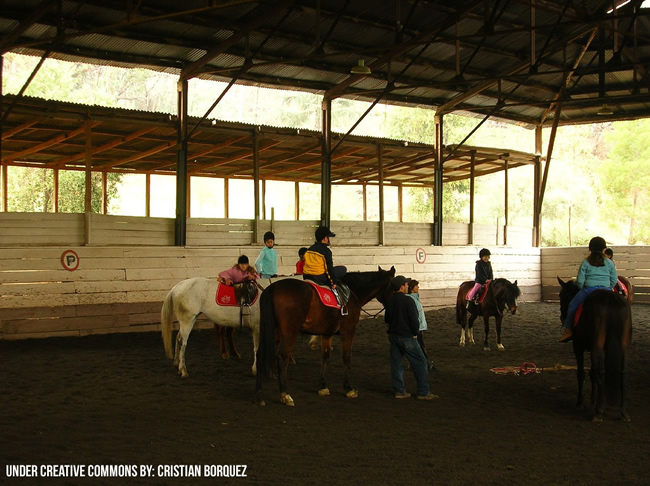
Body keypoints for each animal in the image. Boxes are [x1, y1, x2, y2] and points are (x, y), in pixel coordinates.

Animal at [253, 266, 394, 406]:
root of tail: (272, 288)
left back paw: (259, 395)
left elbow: (325, 357)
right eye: (394, 285)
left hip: (273, 331)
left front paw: (322, 386)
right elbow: (346, 359)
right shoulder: (348, 332)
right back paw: (285, 395)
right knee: (283, 357)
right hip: (289, 333)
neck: (353, 292)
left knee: (260, 355)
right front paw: (348, 388)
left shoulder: (327, 334)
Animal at [556, 278, 632, 422]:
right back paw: (623, 411)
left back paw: (599, 411)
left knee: (601, 372)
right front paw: (592, 400)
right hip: (624, 347)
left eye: (561, 295)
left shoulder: (578, 346)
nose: (562, 316)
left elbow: (581, 373)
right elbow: (592, 372)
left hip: (597, 346)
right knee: (623, 372)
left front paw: (580, 403)